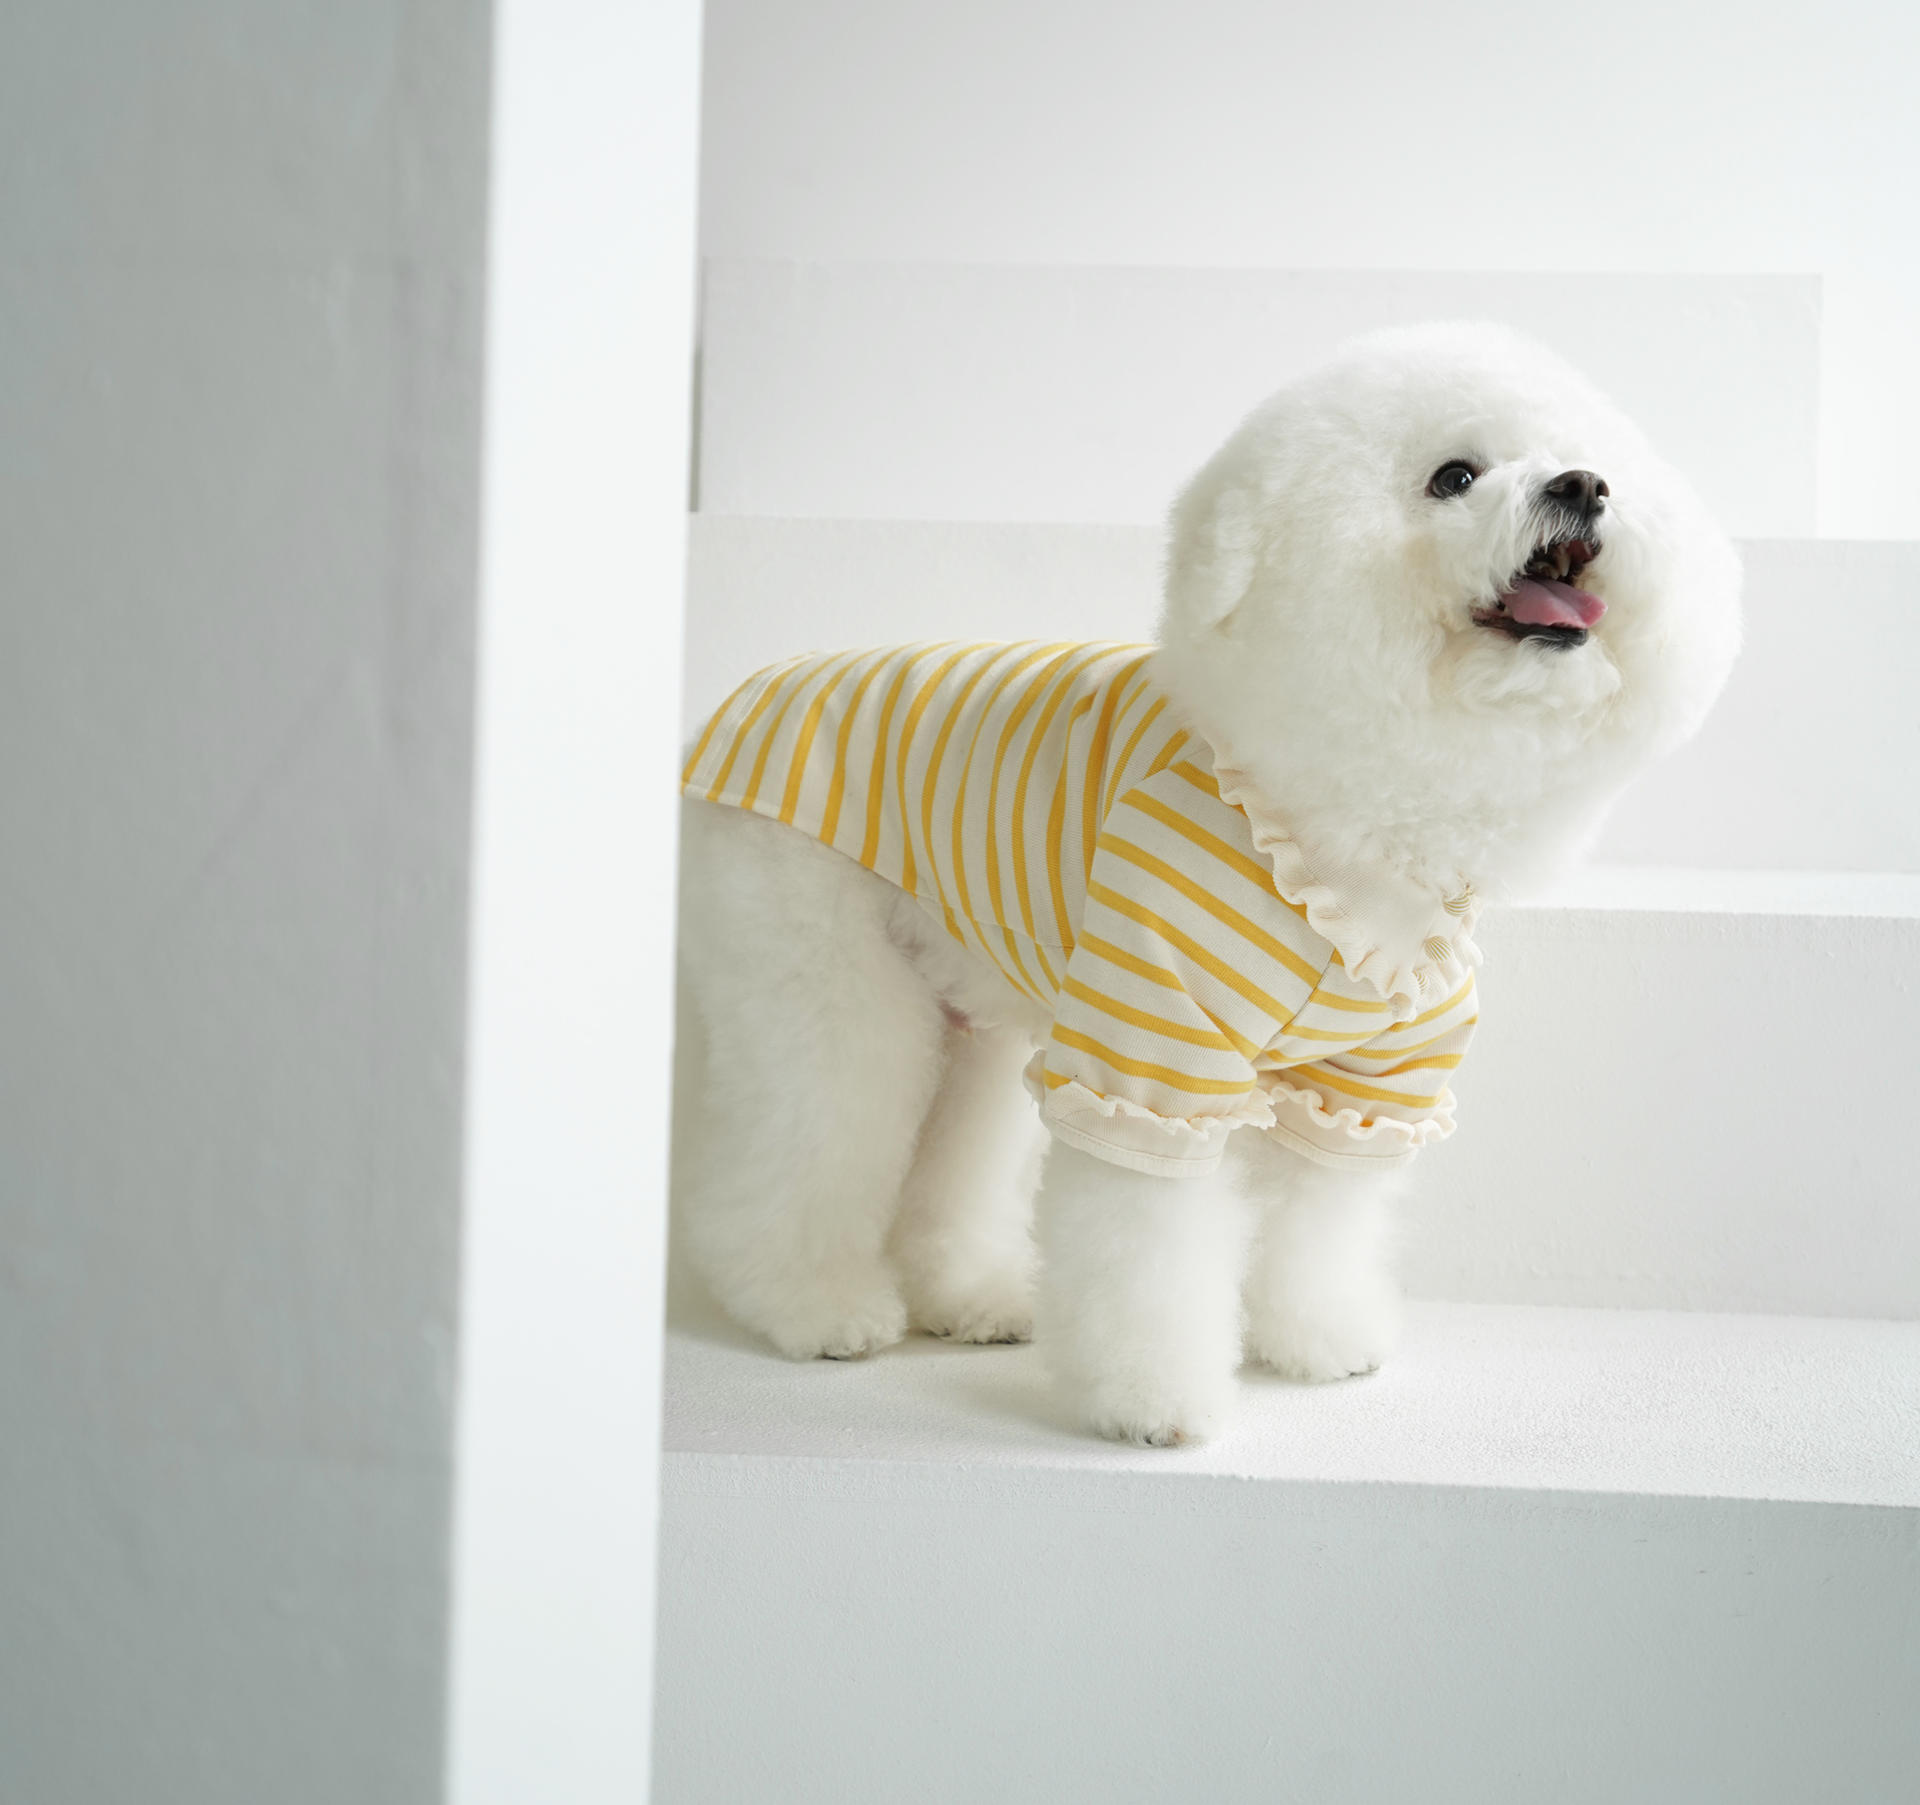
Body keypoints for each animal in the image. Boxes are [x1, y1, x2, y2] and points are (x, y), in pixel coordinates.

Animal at [673, 322, 1741, 1445]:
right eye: (1454, 476)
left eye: (1580, 458)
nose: (1582, 485)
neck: (1341, 819)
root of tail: (745, 697)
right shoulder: (1151, 1050)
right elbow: (1144, 1243)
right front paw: (1153, 1401)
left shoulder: (1371, 1083)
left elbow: (1320, 1220)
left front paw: (1317, 1339)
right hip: (820, 982)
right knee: (794, 1148)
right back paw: (810, 1304)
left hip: (968, 1020)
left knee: (945, 1167)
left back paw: (970, 1296)